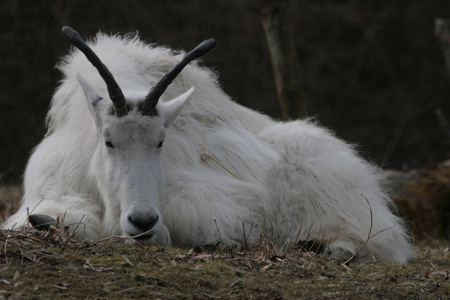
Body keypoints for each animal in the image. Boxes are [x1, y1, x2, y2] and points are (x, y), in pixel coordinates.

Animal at [0, 27, 414, 262]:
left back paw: (332, 249)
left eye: (162, 142)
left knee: (378, 241)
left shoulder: (227, 205)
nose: (141, 220)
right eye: (109, 142)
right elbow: (54, 219)